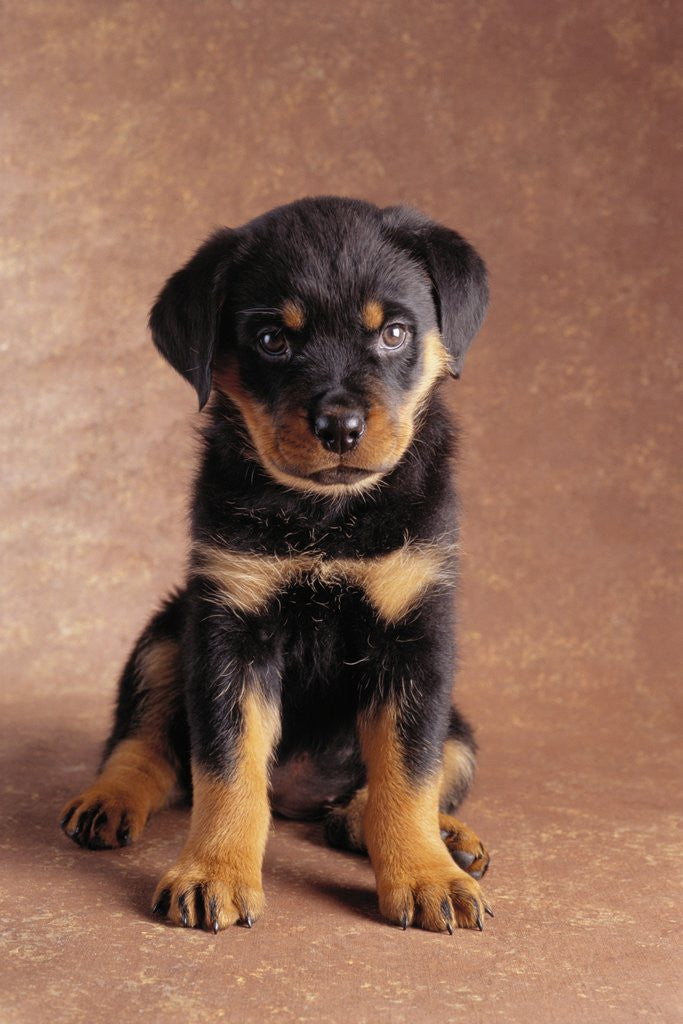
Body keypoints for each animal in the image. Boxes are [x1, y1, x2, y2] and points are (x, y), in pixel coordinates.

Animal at [61, 195, 491, 933]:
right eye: (271, 341)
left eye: (395, 334)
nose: (340, 427)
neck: (325, 515)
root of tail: (299, 792)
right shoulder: (230, 624)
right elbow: (227, 768)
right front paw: (214, 873)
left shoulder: (414, 634)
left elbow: (408, 774)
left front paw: (427, 875)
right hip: (168, 633)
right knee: (147, 746)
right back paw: (108, 800)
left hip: (456, 720)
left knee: (433, 770)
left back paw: (426, 833)